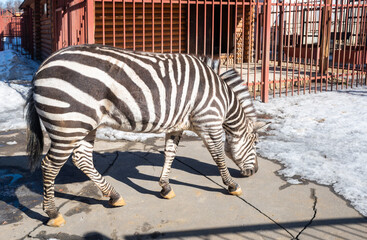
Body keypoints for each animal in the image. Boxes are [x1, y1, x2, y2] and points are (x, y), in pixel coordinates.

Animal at [25, 43, 258, 227]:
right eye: (255, 142)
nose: (255, 172)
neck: (223, 98)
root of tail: (42, 66)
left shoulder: (176, 125)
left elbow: (170, 154)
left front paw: (165, 187)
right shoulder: (209, 121)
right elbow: (218, 156)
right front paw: (232, 185)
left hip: (84, 125)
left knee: (82, 159)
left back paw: (114, 196)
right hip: (69, 124)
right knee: (50, 166)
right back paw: (53, 213)